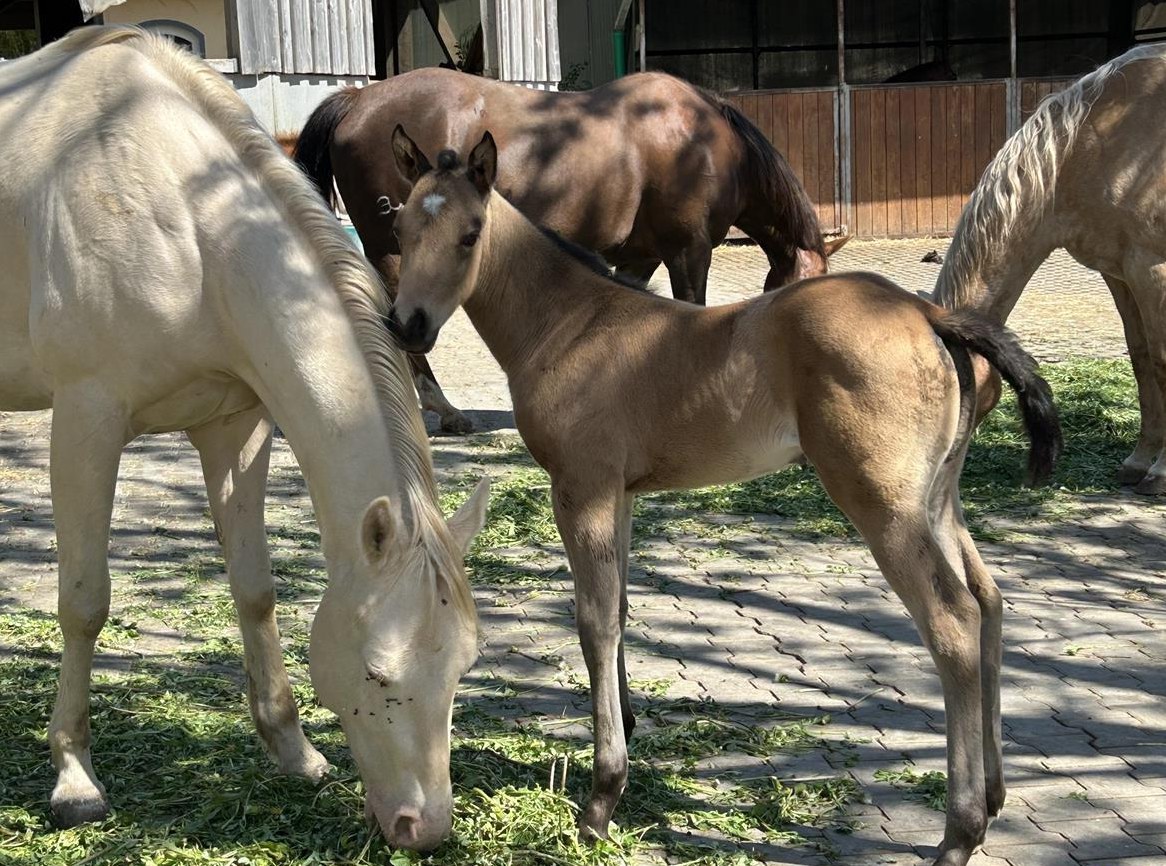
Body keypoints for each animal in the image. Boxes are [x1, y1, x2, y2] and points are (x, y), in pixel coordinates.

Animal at [0, 28, 489, 851]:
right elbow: (84, 602)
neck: (184, 224)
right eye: (379, 673)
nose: (422, 828)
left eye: (462, 667)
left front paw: (293, 750)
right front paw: (74, 779)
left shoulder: (236, 428)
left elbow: (255, 590)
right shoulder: (86, 420)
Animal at [292, 67, 850, 433]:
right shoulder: (689, 251)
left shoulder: (640, 257)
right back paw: (445, 410)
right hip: (393, 255)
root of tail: (358, 97)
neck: (700, 138)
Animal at [383, 127, 1062, 866]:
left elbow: (594, 621)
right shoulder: (620, 492)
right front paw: (627, 726)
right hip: (937, 498)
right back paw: (992, 795)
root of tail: (929, 312)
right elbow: (620, 607)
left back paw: (959, 834)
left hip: (886, 506)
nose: (408, 324)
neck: (571, 325)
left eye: (470, 233)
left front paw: (602, 798)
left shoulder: (581, 487)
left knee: (953, 621)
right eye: (400, 229)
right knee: (988, 602)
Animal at [934, 43, 1166, 494]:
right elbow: (1142, 358)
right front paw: (1138, 460)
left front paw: (1160, 471)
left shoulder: (1152, 268)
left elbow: (1162, 361)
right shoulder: (1120, 273)